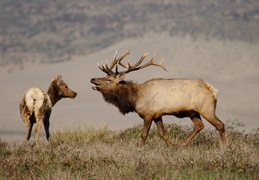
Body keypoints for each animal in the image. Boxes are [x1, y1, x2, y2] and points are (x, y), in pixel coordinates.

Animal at [91, 50, 228, 146]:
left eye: (109, 79)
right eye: (104, 77)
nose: (92, 79)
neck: (135, 98)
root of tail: (213, 90)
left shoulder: (148, 114)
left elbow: (144, 134)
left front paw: (141, 149)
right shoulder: (157, 115)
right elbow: (162, 133)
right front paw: (171, 146)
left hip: (207, 109)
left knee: (220, 125)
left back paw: (223, 147)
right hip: (193, 112)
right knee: (199, 126)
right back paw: (182, 144)